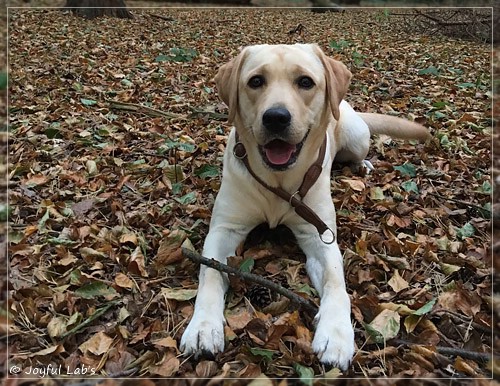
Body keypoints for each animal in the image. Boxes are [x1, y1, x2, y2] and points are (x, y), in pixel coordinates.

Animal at [181, 43, 430, 370]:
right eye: (256, 81)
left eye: (305, 82)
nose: (276, 117)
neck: (280, 182)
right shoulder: (225, 228)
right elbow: (209, 272)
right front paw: (202, 327)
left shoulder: (319, 234)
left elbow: (336, 281)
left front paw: (336, 333)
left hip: (356, 136)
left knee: (356, 152)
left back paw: (361, 164)